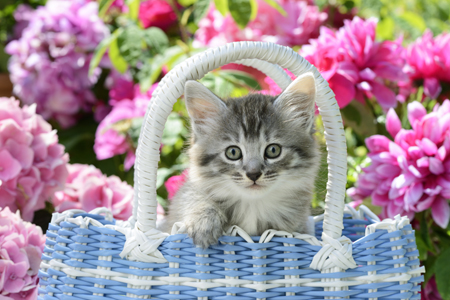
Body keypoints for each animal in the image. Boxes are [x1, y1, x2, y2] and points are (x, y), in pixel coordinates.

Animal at [163, 71, 322, 247]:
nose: (253, 174)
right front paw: (203, 222)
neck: (253, 207)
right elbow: (195, 197)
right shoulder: (189, 191)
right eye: (233, 152)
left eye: (273, 150)